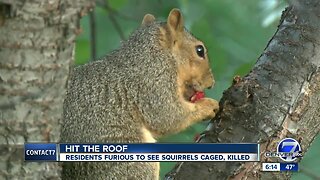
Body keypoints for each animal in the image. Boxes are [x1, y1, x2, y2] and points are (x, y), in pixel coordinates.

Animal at [60, 8, 218, 180]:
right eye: (199, 50)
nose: (211, 83)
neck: (149, 53)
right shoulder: (153, 82)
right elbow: (168, 116)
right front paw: (209, 105)